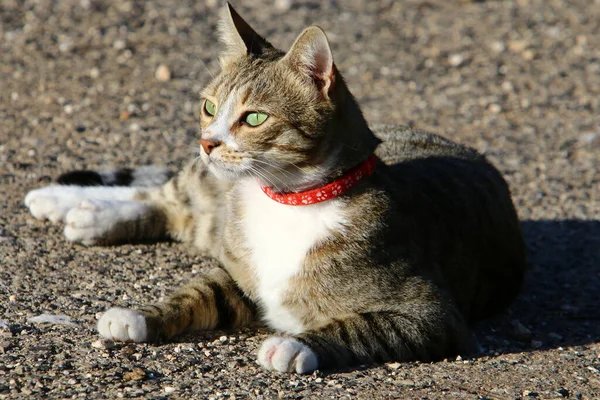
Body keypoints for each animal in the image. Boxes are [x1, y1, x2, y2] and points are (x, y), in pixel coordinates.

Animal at [25, 3, 528, 374]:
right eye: (209, 107)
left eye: (254, 118)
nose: (207, 142)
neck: (287, 199)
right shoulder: (236, 271)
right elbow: (197, 290)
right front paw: (140, 315)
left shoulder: (430, 315)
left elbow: (362, 327)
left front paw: (294, 346)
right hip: (203, 186)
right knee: (168, 195)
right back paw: (65, 202)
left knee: (177, 213)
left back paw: (85, 212)